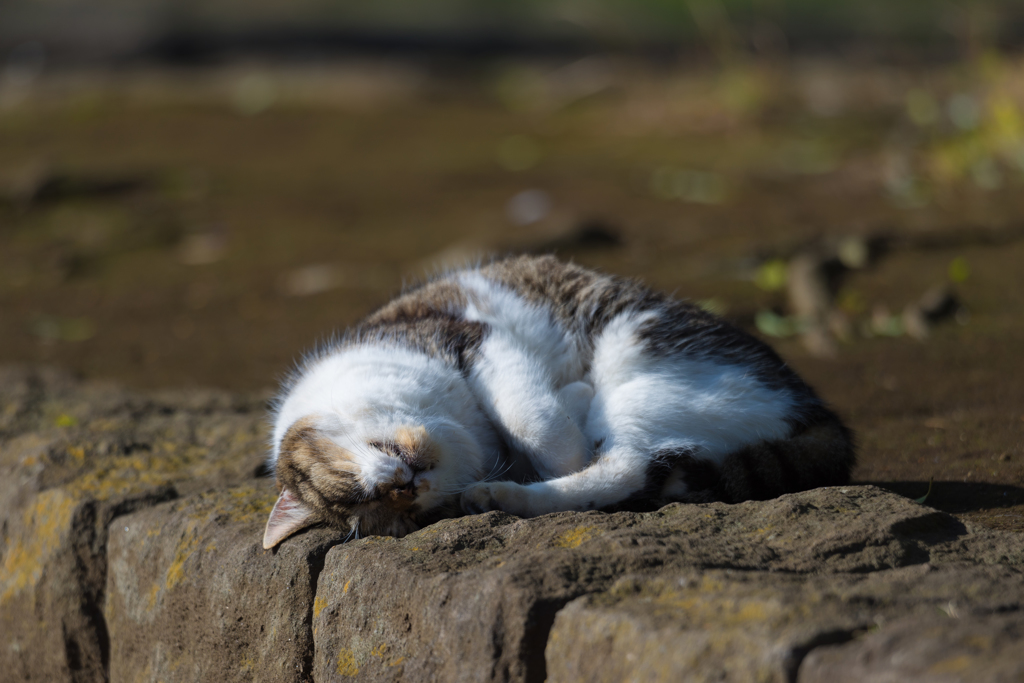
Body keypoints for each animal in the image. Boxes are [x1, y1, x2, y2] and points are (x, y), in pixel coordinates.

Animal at [260, 254, 851, 548]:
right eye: (387, 510)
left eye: (355, 485)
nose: (402, 486)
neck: (466, 433)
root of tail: (827, 419)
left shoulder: (478, 340)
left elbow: (538, 423)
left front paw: (567, 411)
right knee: (628, 474)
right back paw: (498, 496)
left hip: (637, 361)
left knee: (623, 461)